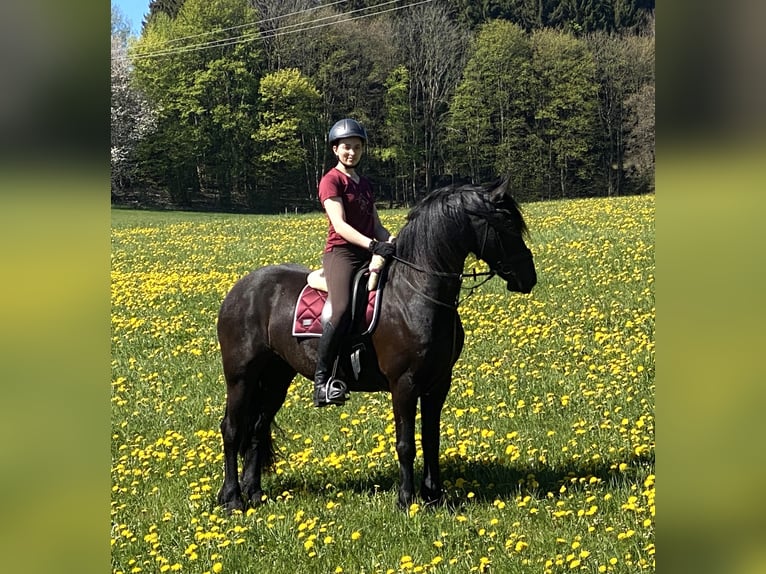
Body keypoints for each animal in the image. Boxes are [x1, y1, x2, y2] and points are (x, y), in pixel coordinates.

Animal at [216, 178, 537, 512]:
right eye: (507, 223)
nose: (528, 277)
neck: (416, 292)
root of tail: (239, 289)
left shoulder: (438, 382)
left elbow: (431, 439)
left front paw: (434, 496)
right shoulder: (404, 384)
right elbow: (406, 443)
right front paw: (406, 499)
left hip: (276, 376)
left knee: (256, 429)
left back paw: (254, 493)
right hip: (241, 377)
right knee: (232, 429)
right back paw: (233, 498)